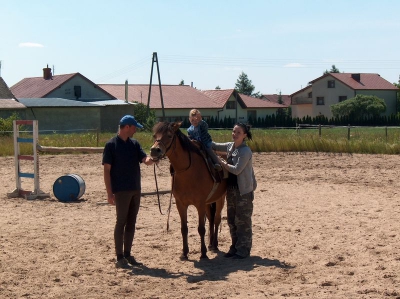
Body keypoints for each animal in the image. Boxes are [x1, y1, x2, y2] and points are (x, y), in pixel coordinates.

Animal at [150, 122, 227, 260]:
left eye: (169, 135)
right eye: (154, 135)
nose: (154, 150)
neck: (188, 172)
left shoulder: (200, 204)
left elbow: (201, 228)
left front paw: (203, 254)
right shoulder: (180, 204)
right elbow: (184, 228)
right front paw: (184, 253)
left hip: (220, 199)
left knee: (217, 219)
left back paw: (215, 245)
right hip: (209, 202)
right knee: (211, 219)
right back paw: (210, 244)